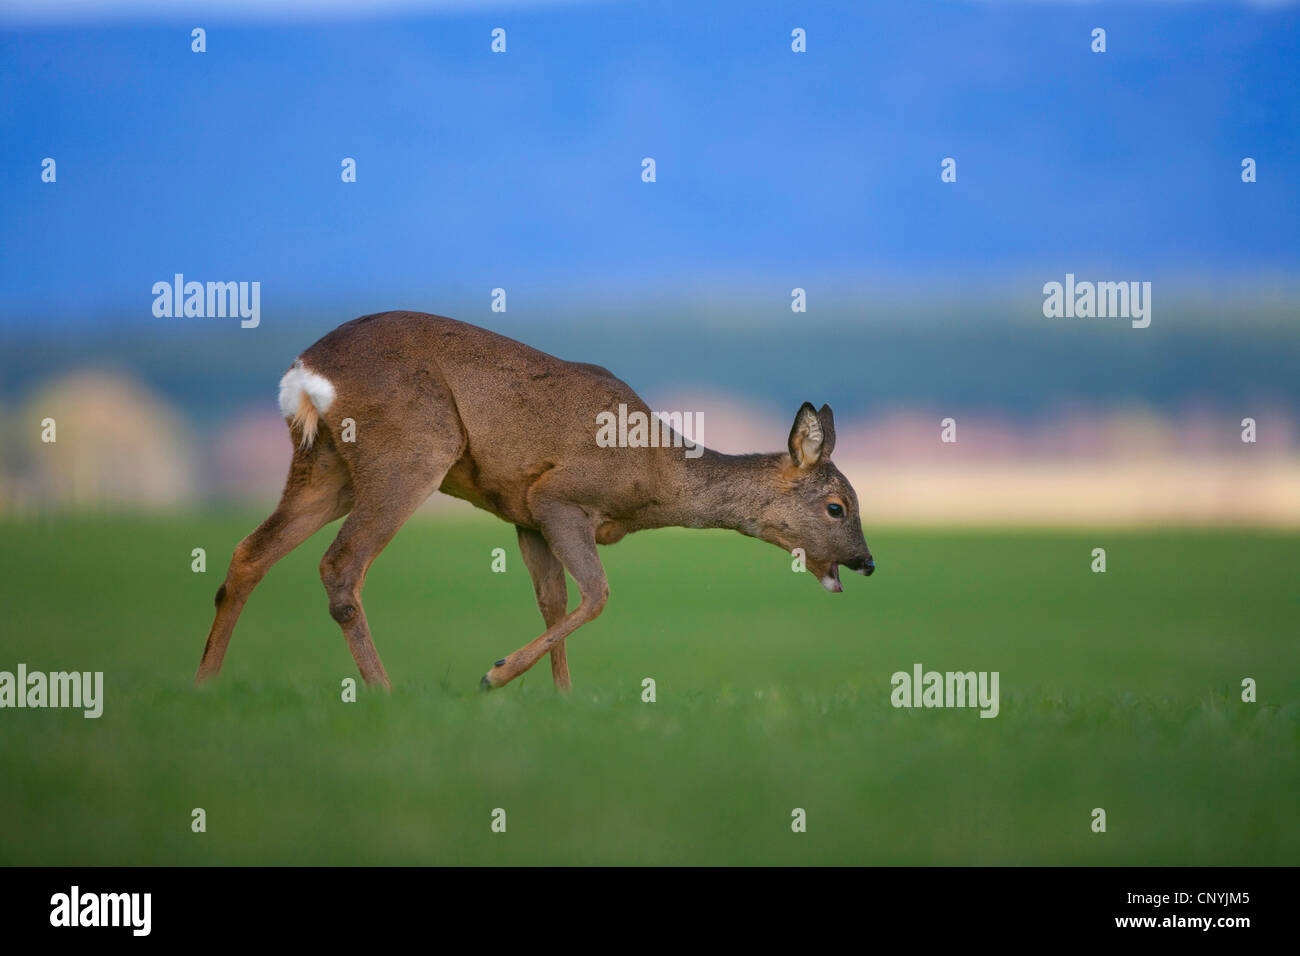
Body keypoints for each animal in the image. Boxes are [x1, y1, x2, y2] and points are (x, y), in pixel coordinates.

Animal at [195, 310, 873, 691]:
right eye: (837, 506)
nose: (867, 562)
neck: (656, 480)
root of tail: (306, 371)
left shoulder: (523, 516)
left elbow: (553, 603)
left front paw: (561, 700)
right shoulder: (557, 497)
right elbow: (596, 595)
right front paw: (494, 675)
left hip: (325, 466)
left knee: (250, 552)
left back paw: (204, 683)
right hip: (412, 451)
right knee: (340, 565)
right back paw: (385, 691)